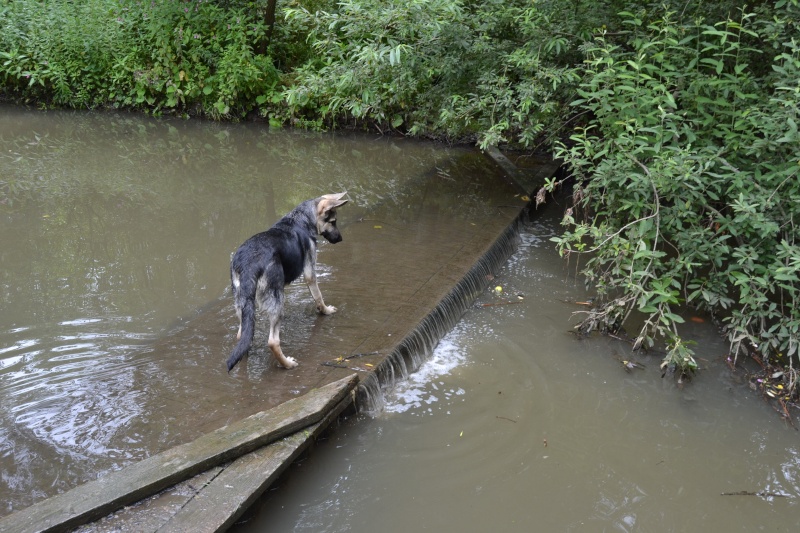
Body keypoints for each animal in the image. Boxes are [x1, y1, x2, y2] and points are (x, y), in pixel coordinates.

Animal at [227, 193, 348, 372]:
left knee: (243, 336)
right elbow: (318, 296)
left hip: (242, 304)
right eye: (333, 222)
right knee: (272, 341)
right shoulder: (310, 271)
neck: (302, 218)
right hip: (274, 300)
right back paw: (287, 364)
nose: (340, 239)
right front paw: (325, 310)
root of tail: (249, 263)